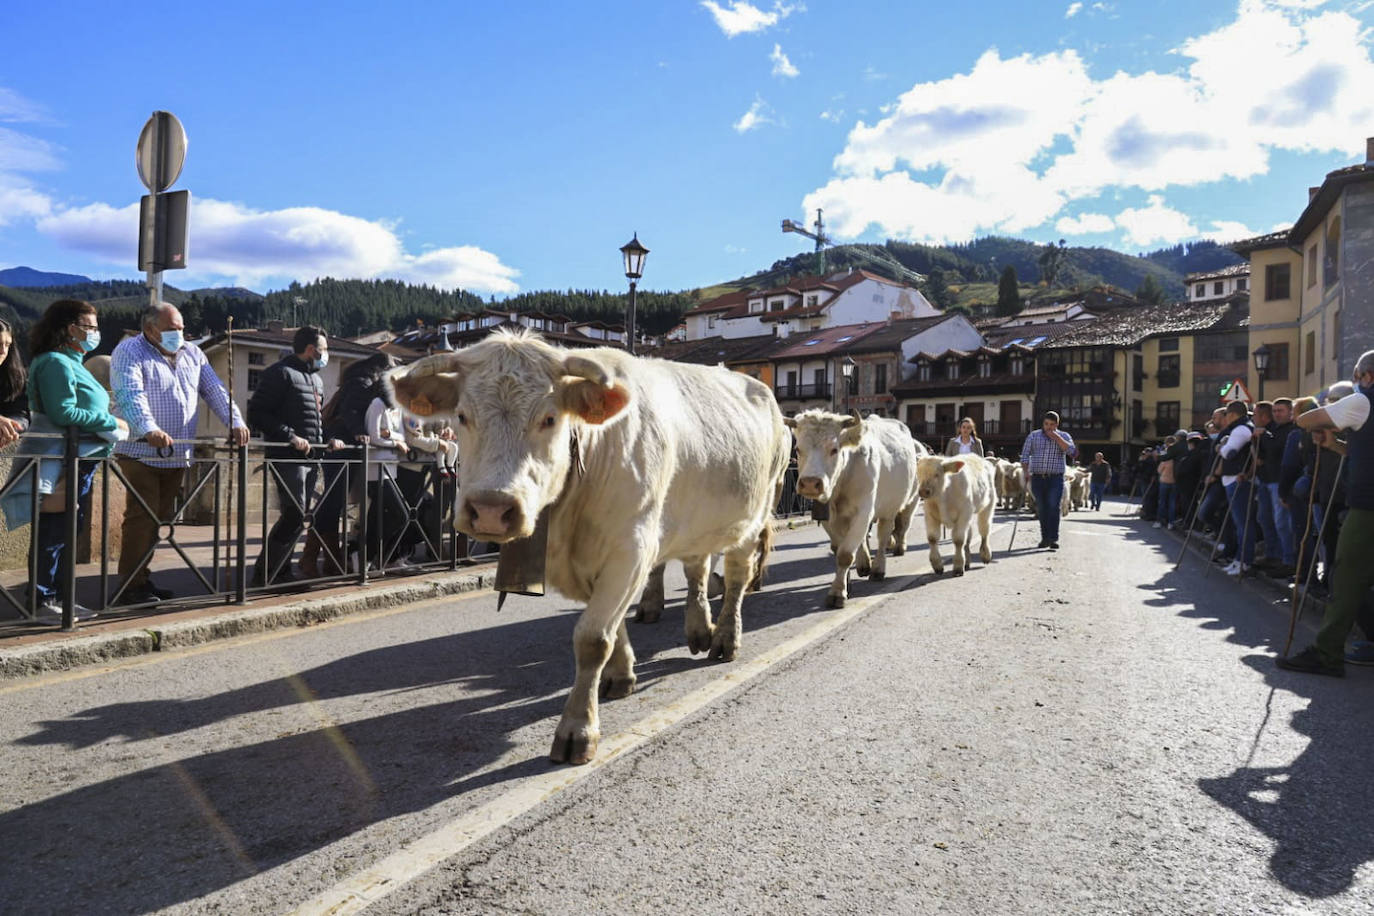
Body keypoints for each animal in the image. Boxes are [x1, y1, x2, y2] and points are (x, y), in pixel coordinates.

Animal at [392, 329, 791, 769]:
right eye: (462, 416)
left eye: (550, 418)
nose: (492, 509)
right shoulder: (590, 564)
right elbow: (612, 628)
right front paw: (621, 674)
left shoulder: (630, 550)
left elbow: (593, 638)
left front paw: (577, 729)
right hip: (695, 522)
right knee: (697, 568)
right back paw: (699, 628)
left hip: (756, 513)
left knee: (736, 578)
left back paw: (724, 638)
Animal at [785, 409, 923, 609]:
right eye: (798, 449)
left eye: (834, 449)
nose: (810, 483)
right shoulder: (829, 518)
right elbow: (838, 548)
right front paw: (845, 582)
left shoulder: (863, 512)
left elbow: (845, 554)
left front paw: (837, 593)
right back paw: (864, 563)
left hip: (891, 509)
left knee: (885, 536)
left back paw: (878, 568)